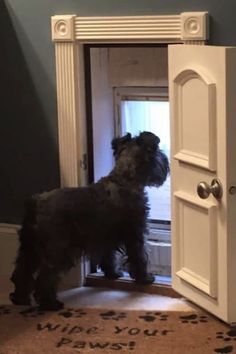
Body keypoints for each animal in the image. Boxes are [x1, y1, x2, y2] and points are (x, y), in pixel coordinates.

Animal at [9, 132, 168, 310]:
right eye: (157, 152)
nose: (165, 162)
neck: (124, 180)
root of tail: (35, 202)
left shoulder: (106, 236)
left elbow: (109, 256)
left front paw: (113, 274)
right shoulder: (135, 233)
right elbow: (139, 256)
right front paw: (145, 278)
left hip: (29, 247)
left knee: (22, 271)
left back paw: (20, 299)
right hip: (58, 250)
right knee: (45, 277)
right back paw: (51, 303)